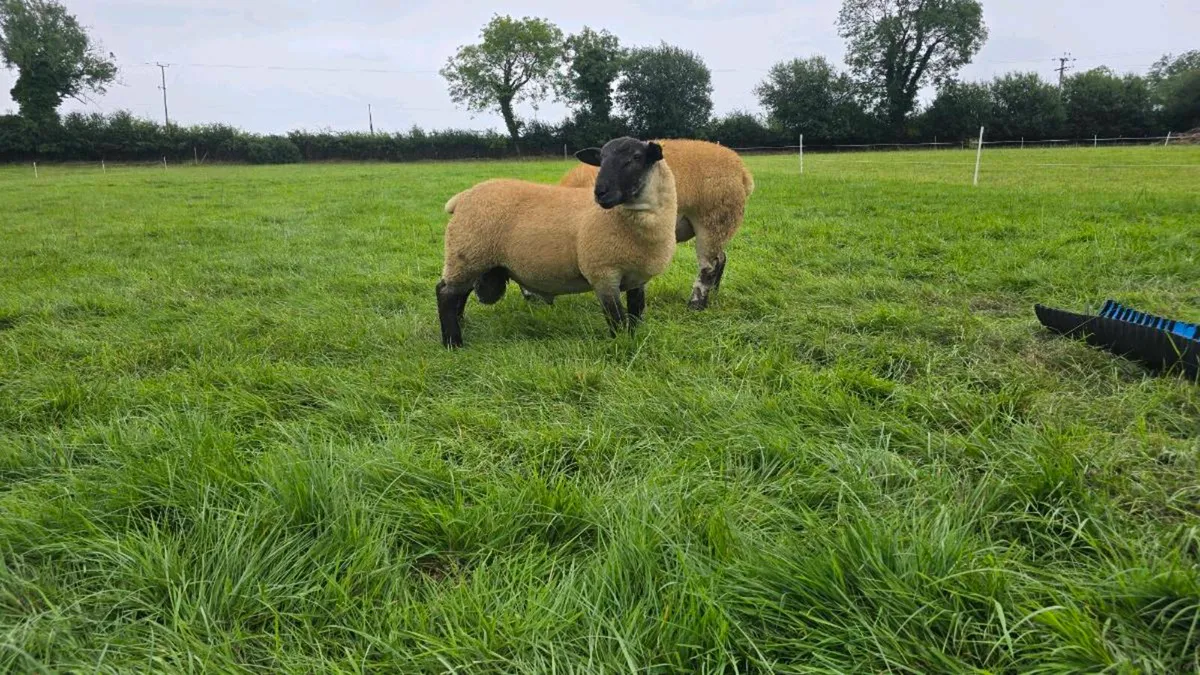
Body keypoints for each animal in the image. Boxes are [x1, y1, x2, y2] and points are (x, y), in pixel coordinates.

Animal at [436, 137, 677, 348]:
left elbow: (635, 314)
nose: (600, 193)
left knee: (460, 293)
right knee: (445, 293)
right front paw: (620, 342)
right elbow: (616, 318)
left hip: (472, 258)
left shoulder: (637, 278)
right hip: (468, 253)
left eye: (636, 157)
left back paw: (461, 324)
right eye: (601, 159)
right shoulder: (603, 274)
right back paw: (453, 342)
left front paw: (634, 339)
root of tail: (462, 197)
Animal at [534, 138, 754, 311]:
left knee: (709, 265)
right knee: (721, 258)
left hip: (713, 220)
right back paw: (714, 294)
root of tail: (742, 171)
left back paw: (696, 304)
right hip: (721, 226)